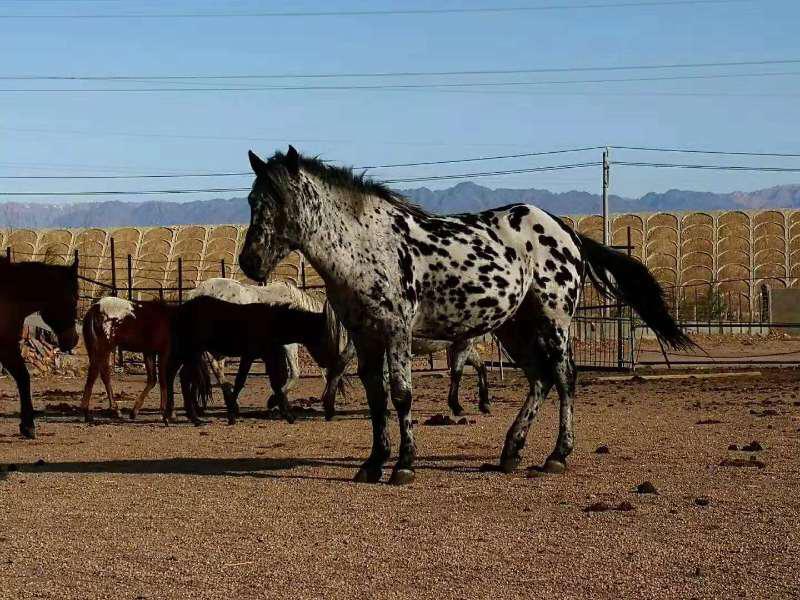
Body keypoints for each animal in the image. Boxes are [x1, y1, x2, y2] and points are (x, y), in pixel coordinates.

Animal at [239, 148, 692, 486]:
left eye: (283, 200)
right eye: (252, 201)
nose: (250, 261)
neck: (369, 245)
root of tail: (567, 233)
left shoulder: (397, 332)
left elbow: (401, 395)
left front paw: (404, 465)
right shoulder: (366, 337)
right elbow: (376, 398)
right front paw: (372, 463)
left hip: (554, 321)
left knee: (564, 378)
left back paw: (557, 455)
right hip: (513, 329)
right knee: (539, 380)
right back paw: (511, 451)